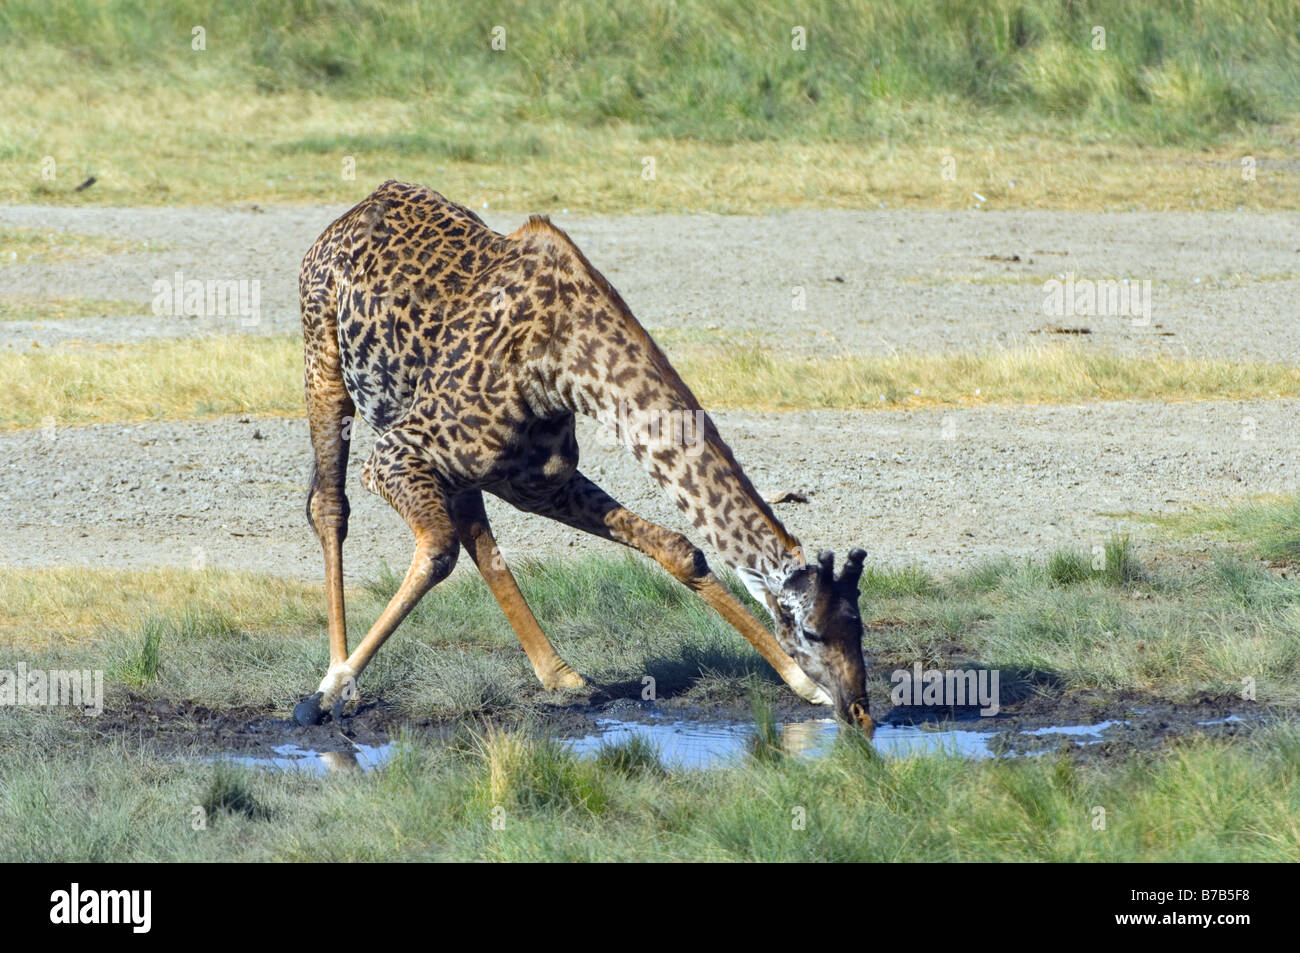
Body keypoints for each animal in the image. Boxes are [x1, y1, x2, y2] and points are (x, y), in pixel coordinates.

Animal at [295, 178, 873, 733]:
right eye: (812, 632)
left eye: (860, 626)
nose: (861, 712)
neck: (565, 361)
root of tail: (352, 211)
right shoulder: (394, 454)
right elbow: (437, 550)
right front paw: (325, 693)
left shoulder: (538, 480)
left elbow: (678, 548)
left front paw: (804, 685)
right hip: (323, 361)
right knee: (330, 506)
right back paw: (338, 675)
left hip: (469, 468)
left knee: (476, 530)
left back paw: (562, 676)